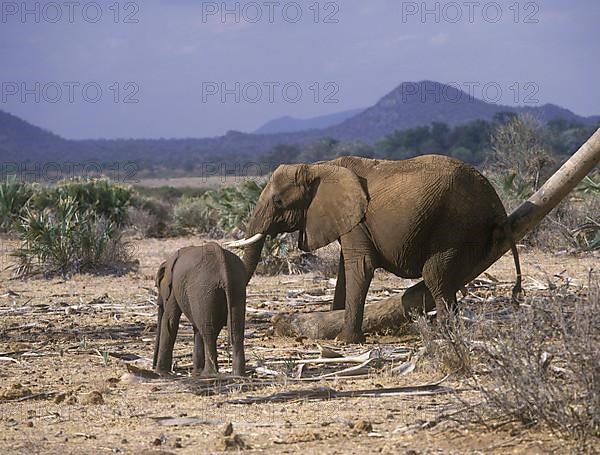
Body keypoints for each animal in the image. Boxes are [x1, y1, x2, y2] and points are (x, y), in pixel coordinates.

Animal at [155, 242, 248, 378]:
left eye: (157, 286)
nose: (152, 366)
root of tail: (221, 262)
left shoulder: (174, 288)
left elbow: (170, 320)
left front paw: (161, 373)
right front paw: (196, 373)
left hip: (203, 288)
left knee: (207, 329)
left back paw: (208, 374)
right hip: (236, 286)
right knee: (236, 329)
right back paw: (238, 375)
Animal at [230, 155, 520, 344]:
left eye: (278, 201)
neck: (317, 166)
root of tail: (496, 202)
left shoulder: (358, 219)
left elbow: (360, 266)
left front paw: (345, 340)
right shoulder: (349, 221)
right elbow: (345, 269)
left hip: (455, 224)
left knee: (435, 275)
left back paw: (443, 334)